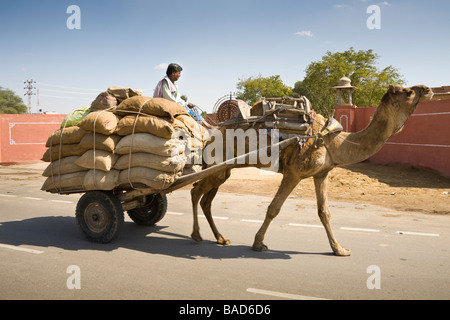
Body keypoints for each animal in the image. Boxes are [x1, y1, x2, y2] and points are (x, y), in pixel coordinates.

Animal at [189, 84, 432, 255]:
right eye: (408, 91)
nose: (428, 89)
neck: (332, 140)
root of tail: (211, 136)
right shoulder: (294, 172)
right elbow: (273, 209)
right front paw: (258, 244)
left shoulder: (321, 174)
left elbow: (324, 212)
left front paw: (339, 249)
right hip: (217, 167)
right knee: (195, 191)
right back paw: (197, 235)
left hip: (222, 170)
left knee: (205, 199)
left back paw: (220, 238)